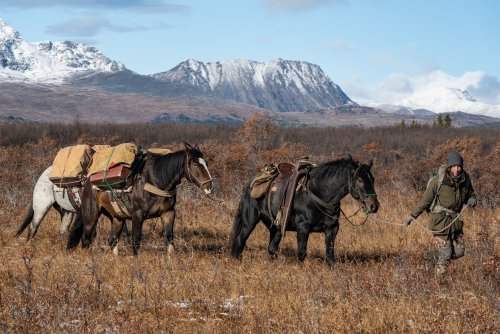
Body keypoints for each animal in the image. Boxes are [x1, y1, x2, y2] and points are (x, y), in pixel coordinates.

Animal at [67, 142, 212, 254]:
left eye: (206, 163)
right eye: (194, 163)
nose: (209, 186)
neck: (155, 180)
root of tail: (87, 182)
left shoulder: (169, 213)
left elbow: (169, 239)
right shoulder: (137, 215)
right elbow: (136, 241)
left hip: (117, 217)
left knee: (112, 240)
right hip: (91, 216)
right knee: (86, 240)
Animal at [230, 156, 378, 266]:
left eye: (373, 179)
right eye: (360, 180)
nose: (374, 206)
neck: (318, 193)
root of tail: (248, 185)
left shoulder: (332, 229)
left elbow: (329, 256)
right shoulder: (303, 228)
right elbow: (302, 254)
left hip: (276, 227)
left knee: (272, 248)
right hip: (249, 221)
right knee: (240, 240)